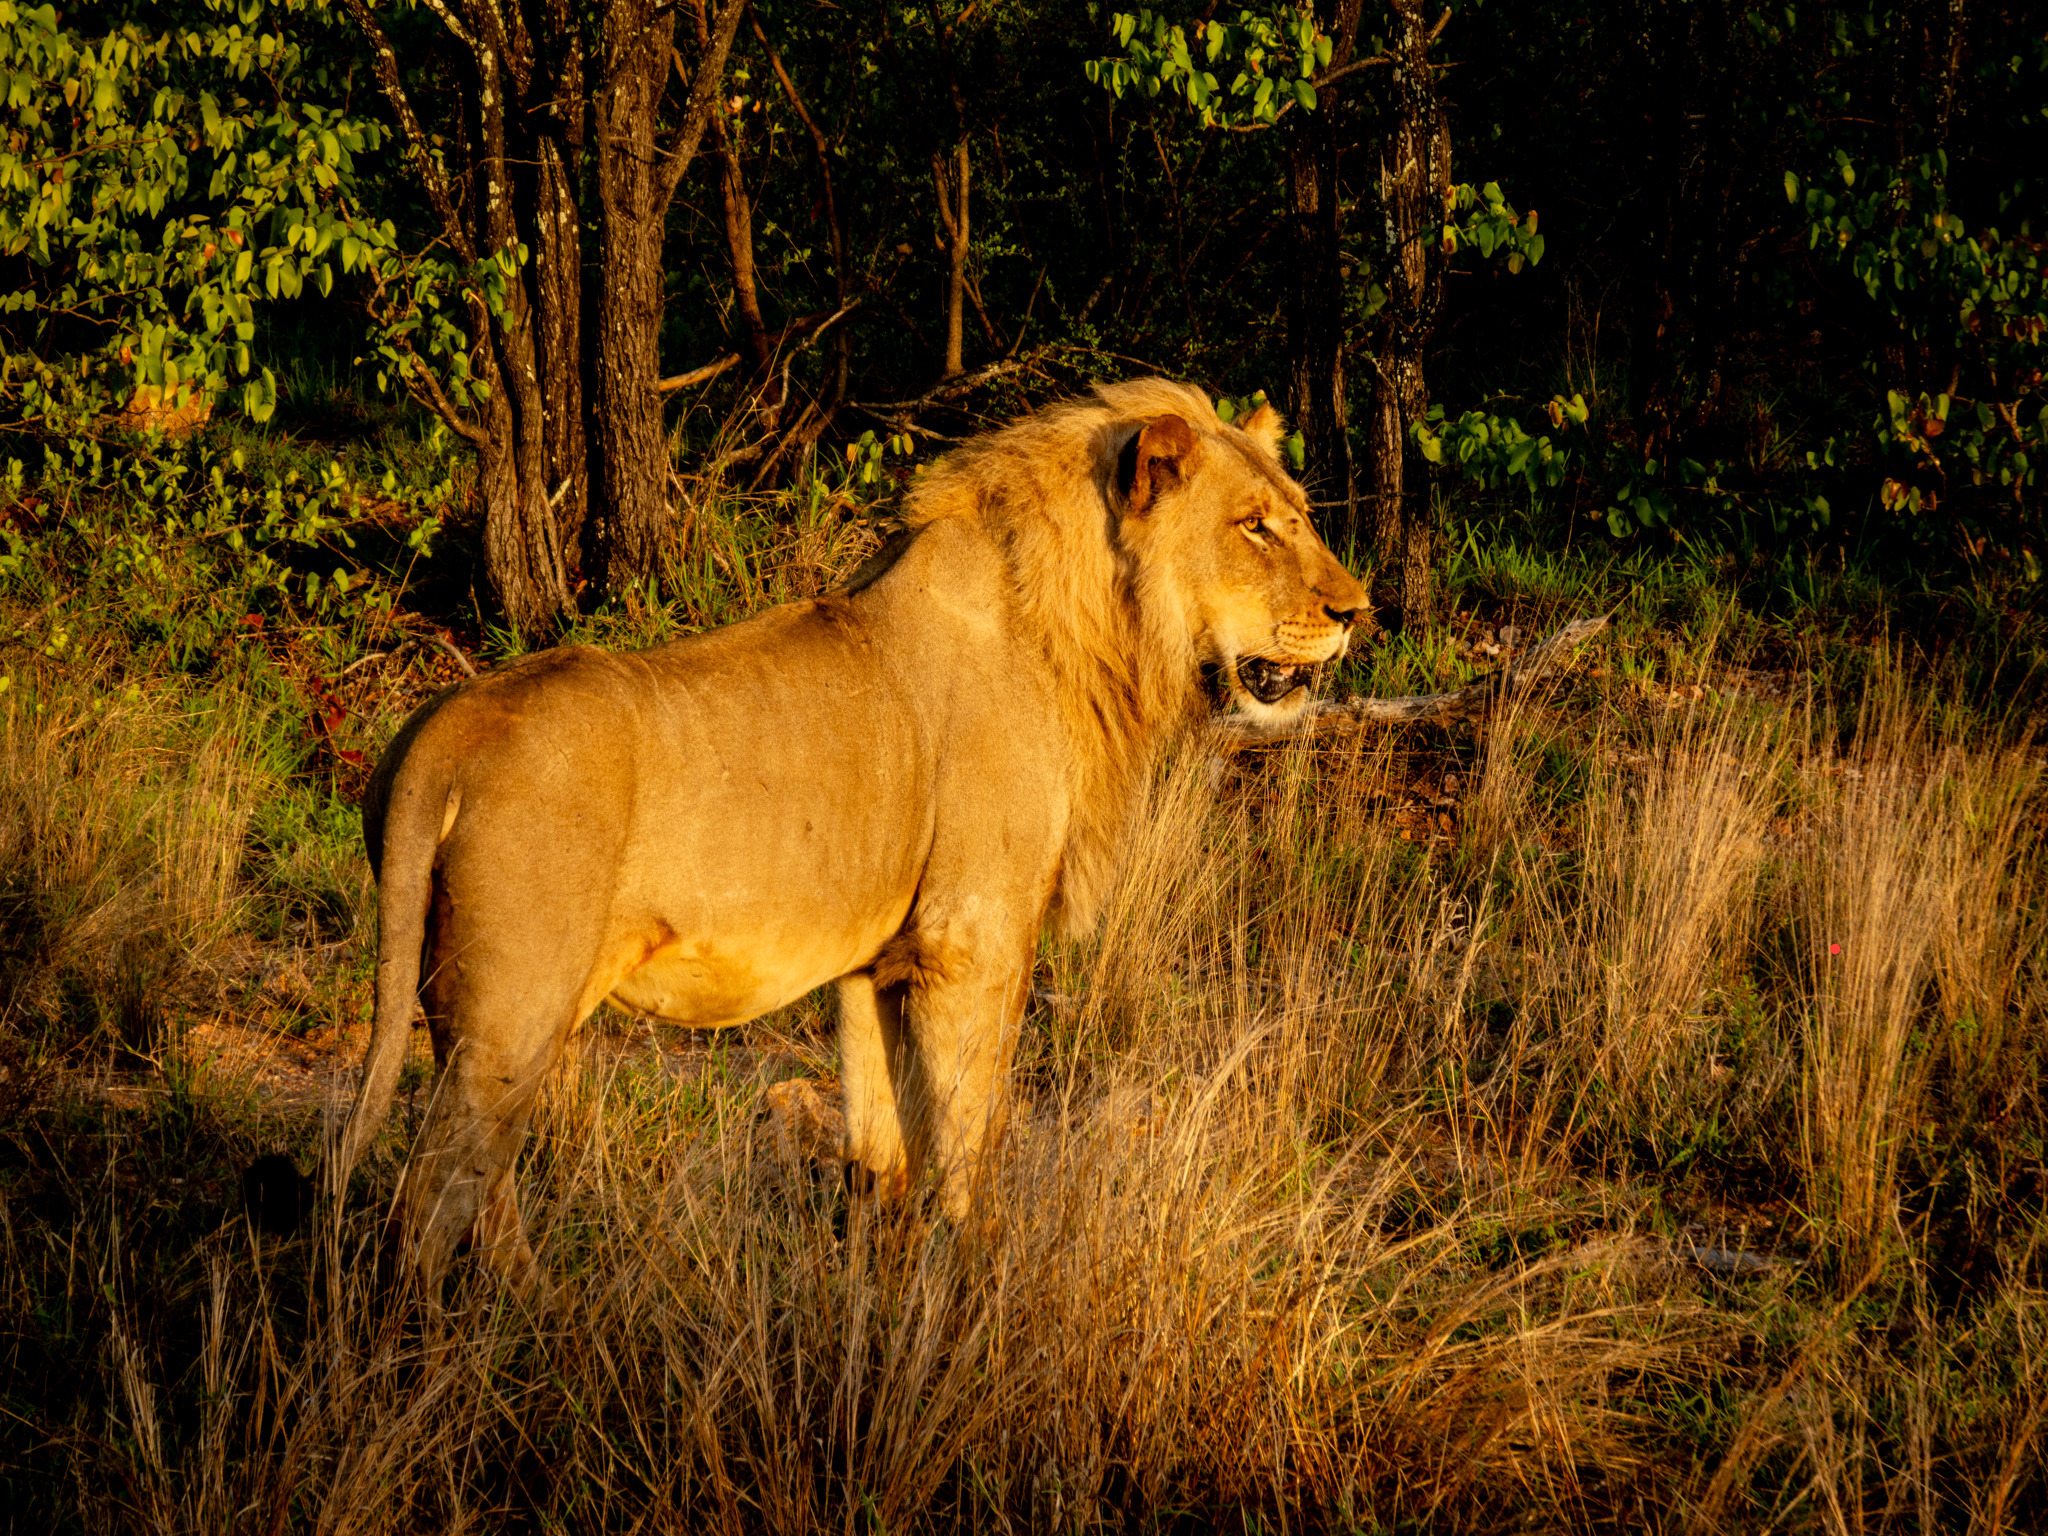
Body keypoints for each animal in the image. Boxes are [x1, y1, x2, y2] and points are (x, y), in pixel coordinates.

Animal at [332, 378, 1368, 1295]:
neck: (1090, 631)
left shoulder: (879, 965)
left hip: (478, 1011)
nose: (1356, 612)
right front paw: (976, 1299)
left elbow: (883, 1158)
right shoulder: (972, 941)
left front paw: (884, 1300)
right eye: (1253, 526)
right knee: (426, 1203)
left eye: (1299, 514)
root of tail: (441, 733)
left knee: (482, 1184)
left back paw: (536, 1311)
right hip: (514, 1008)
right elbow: (969, 1147)